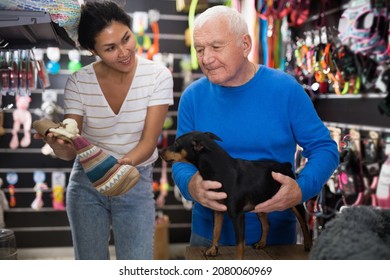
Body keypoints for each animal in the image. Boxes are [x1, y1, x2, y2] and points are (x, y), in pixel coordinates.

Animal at [160, 132, 312, 260]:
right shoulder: (217, 210)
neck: (219, 169)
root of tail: (285, 165)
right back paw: (262, 243)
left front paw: (238, 260)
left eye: (176, 143)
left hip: (294, 201)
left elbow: (240, 243)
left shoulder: (237, 215)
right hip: (260, 204)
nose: (160, 152)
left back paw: (308, 245)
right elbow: (216, 231)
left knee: (304, 223)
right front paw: (213, 249)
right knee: (267, 224)